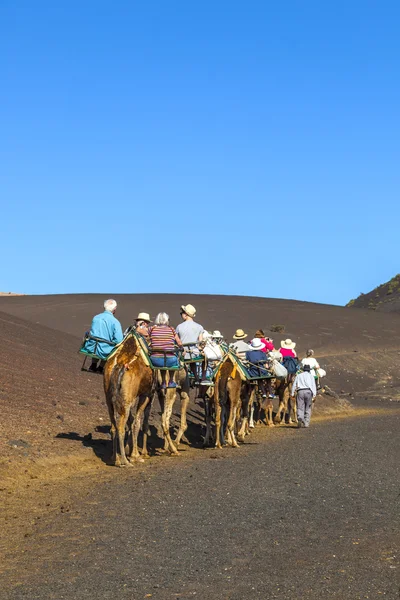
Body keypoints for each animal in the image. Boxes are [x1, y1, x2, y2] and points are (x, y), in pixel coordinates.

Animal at [104, 336, 155, 466]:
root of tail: (119, 365)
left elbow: (132, 421)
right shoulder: (146, 395)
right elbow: (137, 423)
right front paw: (136, 455)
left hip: (109, 399)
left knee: (113, 427)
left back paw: (115, 458)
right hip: (126, 401)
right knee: (121, 426)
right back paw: (125, 462)